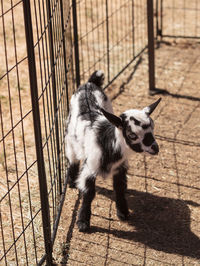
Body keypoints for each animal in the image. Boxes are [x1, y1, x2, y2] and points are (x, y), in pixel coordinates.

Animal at [65, 70, 162, 231]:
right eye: (132, 135)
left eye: (153, 128)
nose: (155, 148)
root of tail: (89, 84)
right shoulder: (89, 168)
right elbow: (88, 194)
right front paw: (83, 221)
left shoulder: (120, 168)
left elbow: (120, 188)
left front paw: (123, 212)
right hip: (70, 138)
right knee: (72, 158)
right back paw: (72, 181)